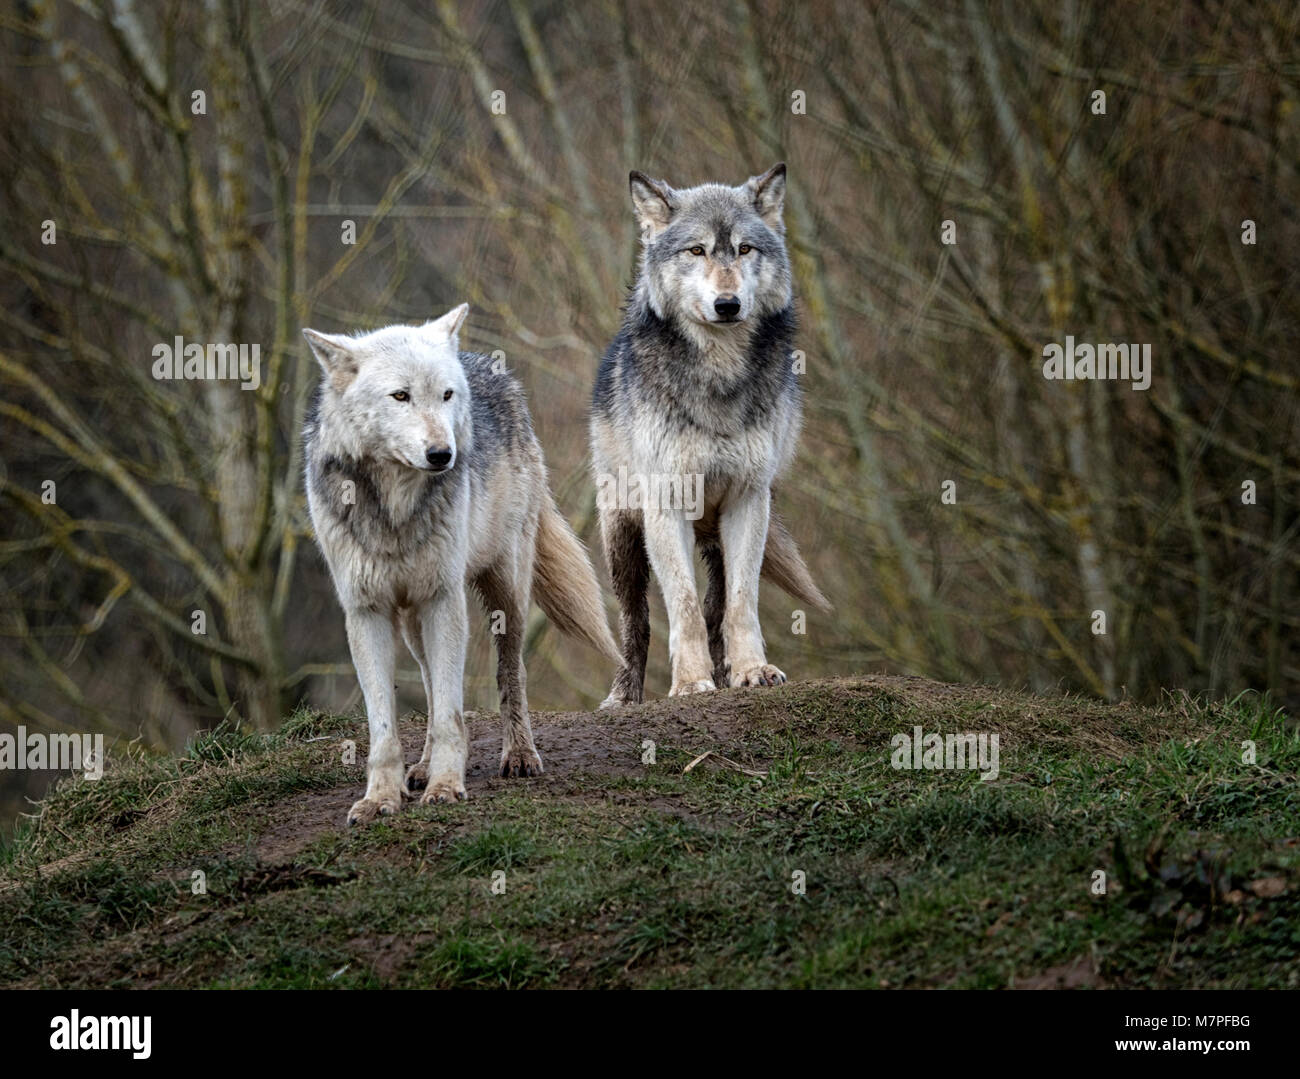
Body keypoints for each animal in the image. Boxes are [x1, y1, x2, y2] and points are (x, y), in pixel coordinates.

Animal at [301, 304, 616, 826]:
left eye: (446, 395)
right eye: (401, 396)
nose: (442, 455)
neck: (396, 508)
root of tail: (489, 365)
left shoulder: (443, 598)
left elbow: (453, 713)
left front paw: (447, 786)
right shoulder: (366, 612)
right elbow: (387, 725)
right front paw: (380, 798)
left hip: (505, 590)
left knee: (511, 672)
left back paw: (519, 756)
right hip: (412, 619)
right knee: (430, 684)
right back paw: (422, 768)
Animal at [592, 156, 826, 707]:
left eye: (744, 249)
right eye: (696, 250)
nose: (728, 303)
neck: (717, 375)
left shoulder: (748, 498)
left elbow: (740, 604)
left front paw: (752, 670)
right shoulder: (665, 504)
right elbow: (681, 606)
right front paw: (689, 683)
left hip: (717, 534)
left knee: (717, 604)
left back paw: (726, 674)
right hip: (621, 534)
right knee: (635, 622)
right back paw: (624, 696)